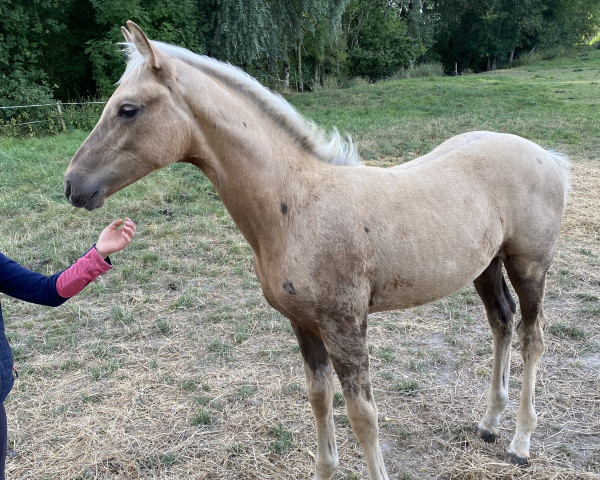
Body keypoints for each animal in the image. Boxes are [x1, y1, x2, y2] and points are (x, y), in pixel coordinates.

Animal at [63, 22, 568, 480]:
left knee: (532, 335)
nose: (72, 185)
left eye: (128, 109)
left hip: (529, 265)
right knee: (501, 322)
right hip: (486, 265)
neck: (296, 206)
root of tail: (547, 156)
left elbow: (363, 415)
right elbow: (319, 397)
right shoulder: (303, 322)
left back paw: (521, 442)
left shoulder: (345, 323)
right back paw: (490, 422)